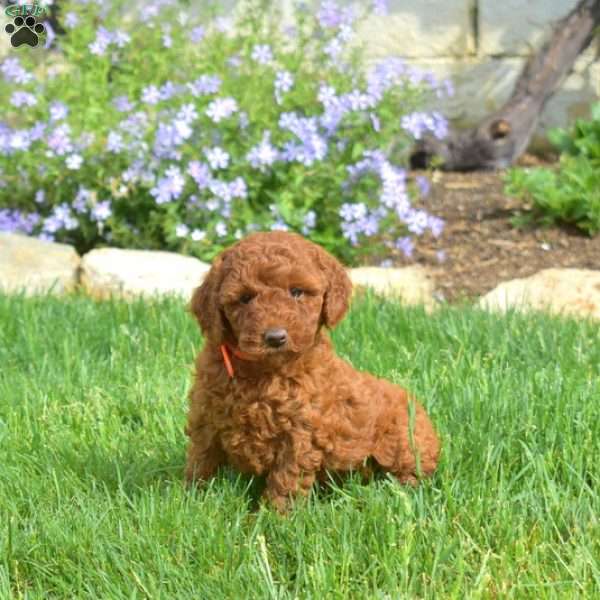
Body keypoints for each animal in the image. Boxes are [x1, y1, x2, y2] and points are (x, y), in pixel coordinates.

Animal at [186, 232, 440, 508]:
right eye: (245, 298)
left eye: (297, 292)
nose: (275, 338)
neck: (264, 372)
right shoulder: (206, 416)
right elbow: (202, 458)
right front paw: (192, 499)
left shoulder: (301, 433)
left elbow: (286, 479)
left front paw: (273, 515)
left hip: (403, 440)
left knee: (412, 472)